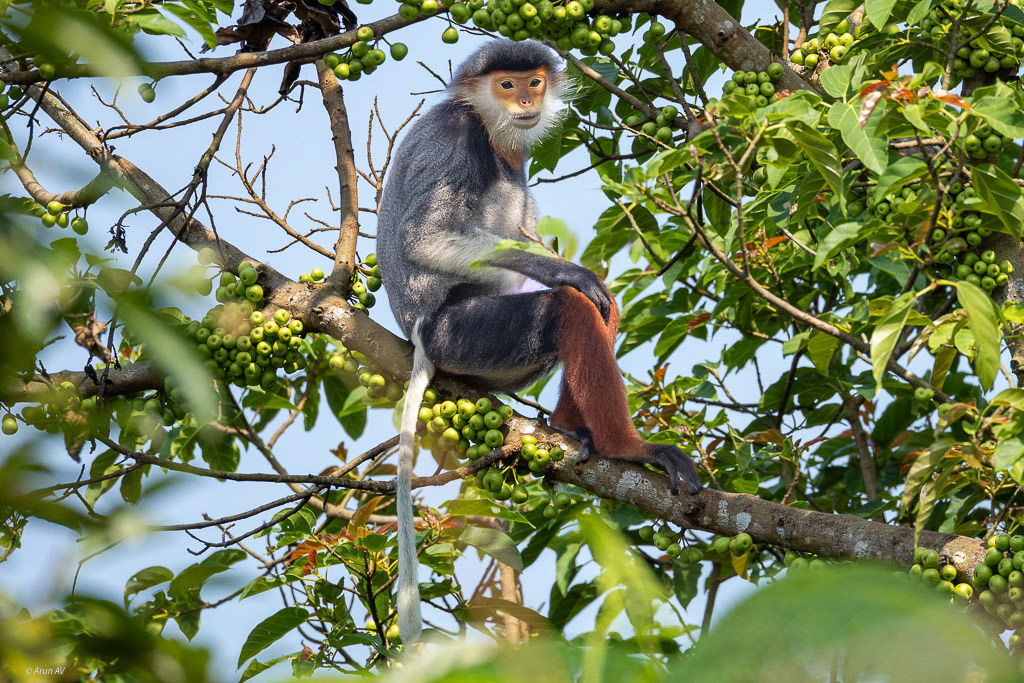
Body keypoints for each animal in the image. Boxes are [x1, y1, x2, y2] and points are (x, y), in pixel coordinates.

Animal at [376, 39, 702, 644]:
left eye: (533, 82)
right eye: (506, 85)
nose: (526, 101)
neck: (488, 125)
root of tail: (420, 338)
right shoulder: (457, 133)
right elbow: (427, 237)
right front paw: (571, 273)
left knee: (598, 311)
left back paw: (577, 431)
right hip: (461, 336)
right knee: (566, 309)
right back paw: (625, 447)